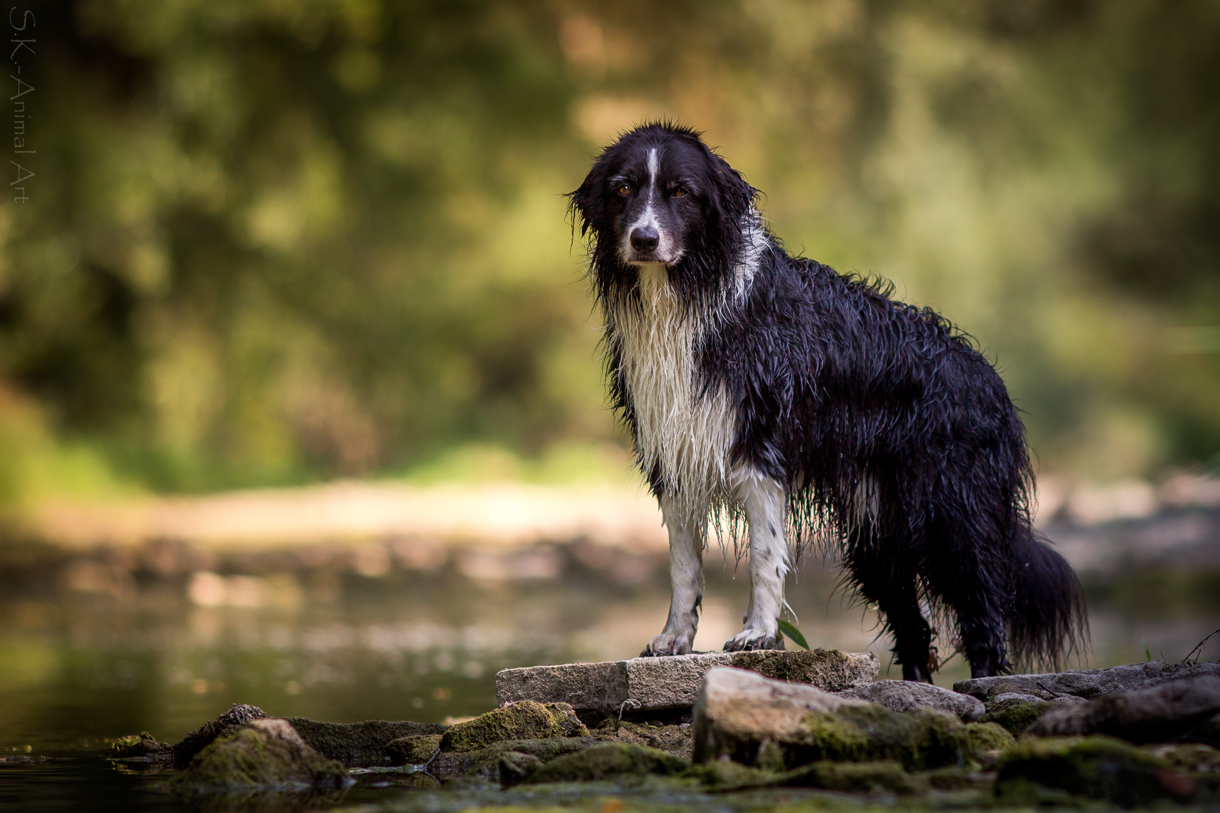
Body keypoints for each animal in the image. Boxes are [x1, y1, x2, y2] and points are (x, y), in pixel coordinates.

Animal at [570, 120, 1088, 678]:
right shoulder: (677, 448)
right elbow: (683, 565)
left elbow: (764, 555)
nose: (644, 239)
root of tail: (991, 380)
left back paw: (984, 685)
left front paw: (758, 634)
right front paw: (674, 639)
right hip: (877, 532)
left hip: (955, 513)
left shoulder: (759, 448)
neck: (686, 293)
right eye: (623, 189)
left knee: (984, 616)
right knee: (914, 626)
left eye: (681, 192)